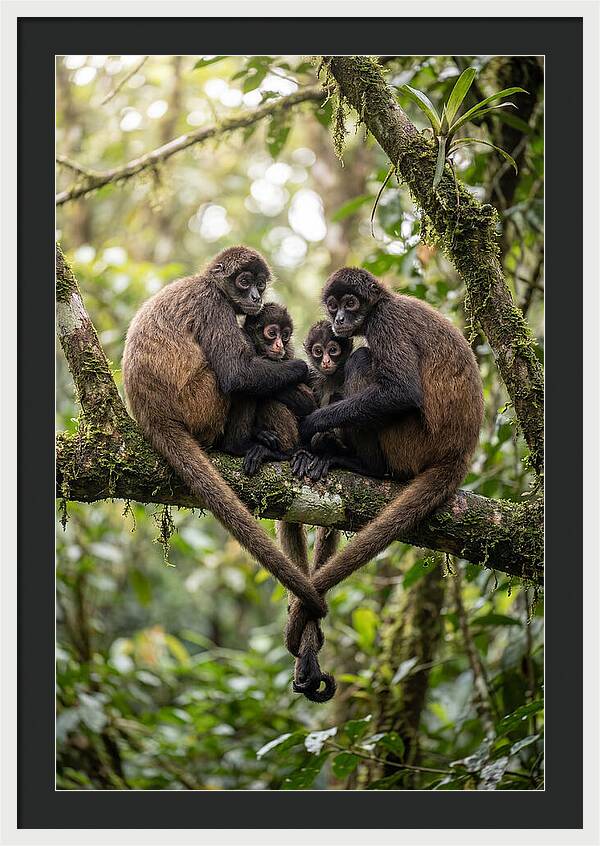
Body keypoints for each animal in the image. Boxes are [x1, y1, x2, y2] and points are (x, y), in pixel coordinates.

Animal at [121, 246, 327, 622]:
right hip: (201, 404)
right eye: (244, 281)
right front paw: (301, 368)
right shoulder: (213, 304)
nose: (256, 296)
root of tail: (152, 414)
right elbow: (236, 374)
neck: (208, 283)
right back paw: (240, 445)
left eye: (260, 284)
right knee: (237, 377)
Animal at [285, 267, 484, 659]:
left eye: (350, 303)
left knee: (363, 359)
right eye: (333, 306)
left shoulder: (385, 322)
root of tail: (460, 452)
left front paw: (313, 426)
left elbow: (401, 391)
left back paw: (362, 464)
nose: (340, 319)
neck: (383, 303)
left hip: (411, 441)